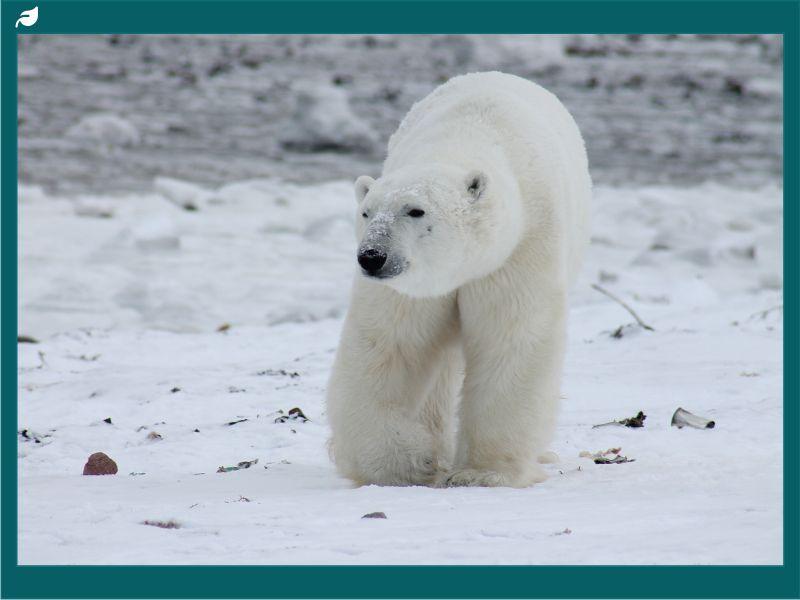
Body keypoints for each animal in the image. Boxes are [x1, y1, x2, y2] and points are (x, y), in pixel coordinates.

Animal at [326, 71, 591, 488]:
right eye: (367, 212)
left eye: (415, 210)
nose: (371, 257)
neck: (465, 137)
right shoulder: (412, 287)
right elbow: (390, 345)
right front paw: (406, 462)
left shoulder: (520, 249)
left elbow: (510, 341)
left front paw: (482, 472)